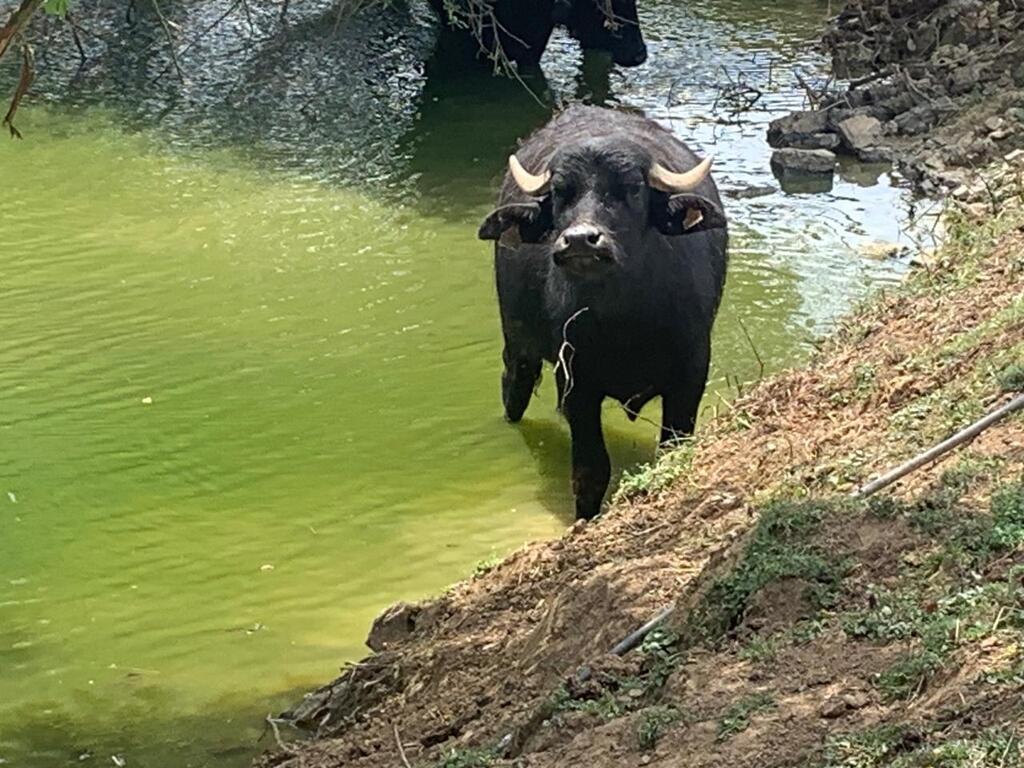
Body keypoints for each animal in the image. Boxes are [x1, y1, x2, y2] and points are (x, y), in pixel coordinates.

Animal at [479, 105, 729, 520]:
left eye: (632, 188)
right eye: (560, 193)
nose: (581, 240)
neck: (622, 324)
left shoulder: (691, 373)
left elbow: (672, 449)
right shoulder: (575, 383)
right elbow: (591, 471)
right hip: (517, 343)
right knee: (513, 386)